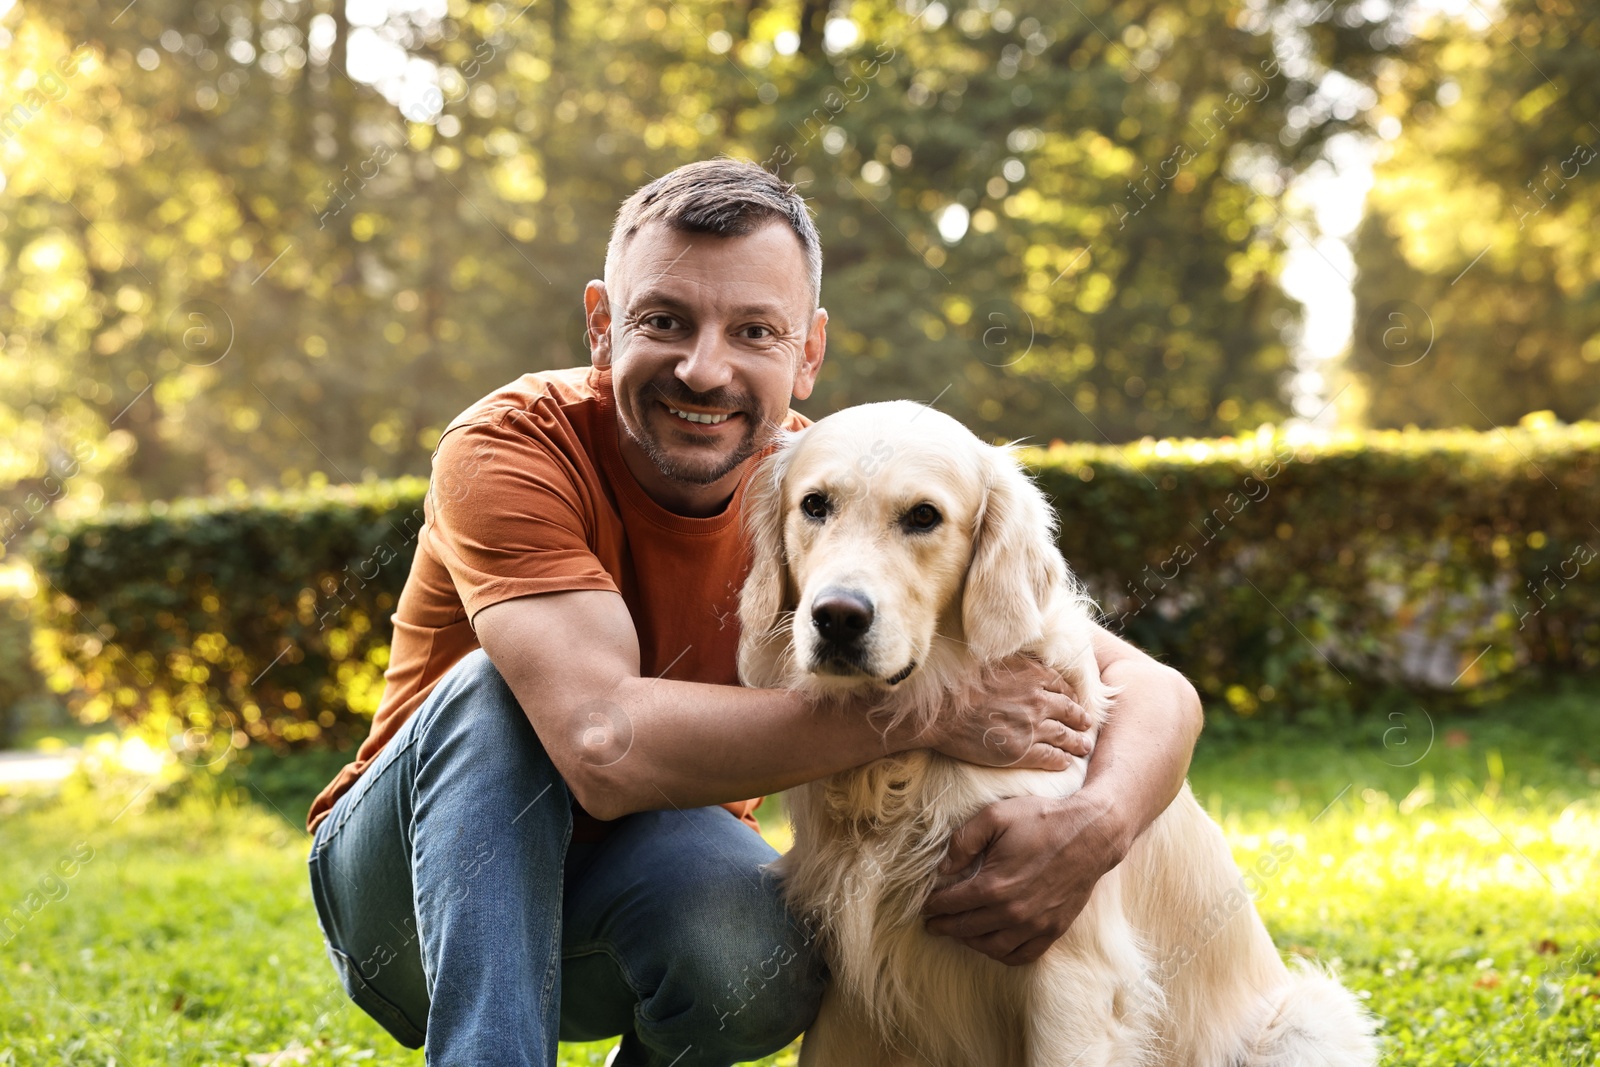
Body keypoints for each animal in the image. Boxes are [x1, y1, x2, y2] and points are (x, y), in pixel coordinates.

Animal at [736, 403, 1376, 1067]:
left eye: (924, 516)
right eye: (815, 505)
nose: (837, 617)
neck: (903, 760)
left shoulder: (1074, 971)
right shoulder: (851, 983)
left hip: (1310, 1023)